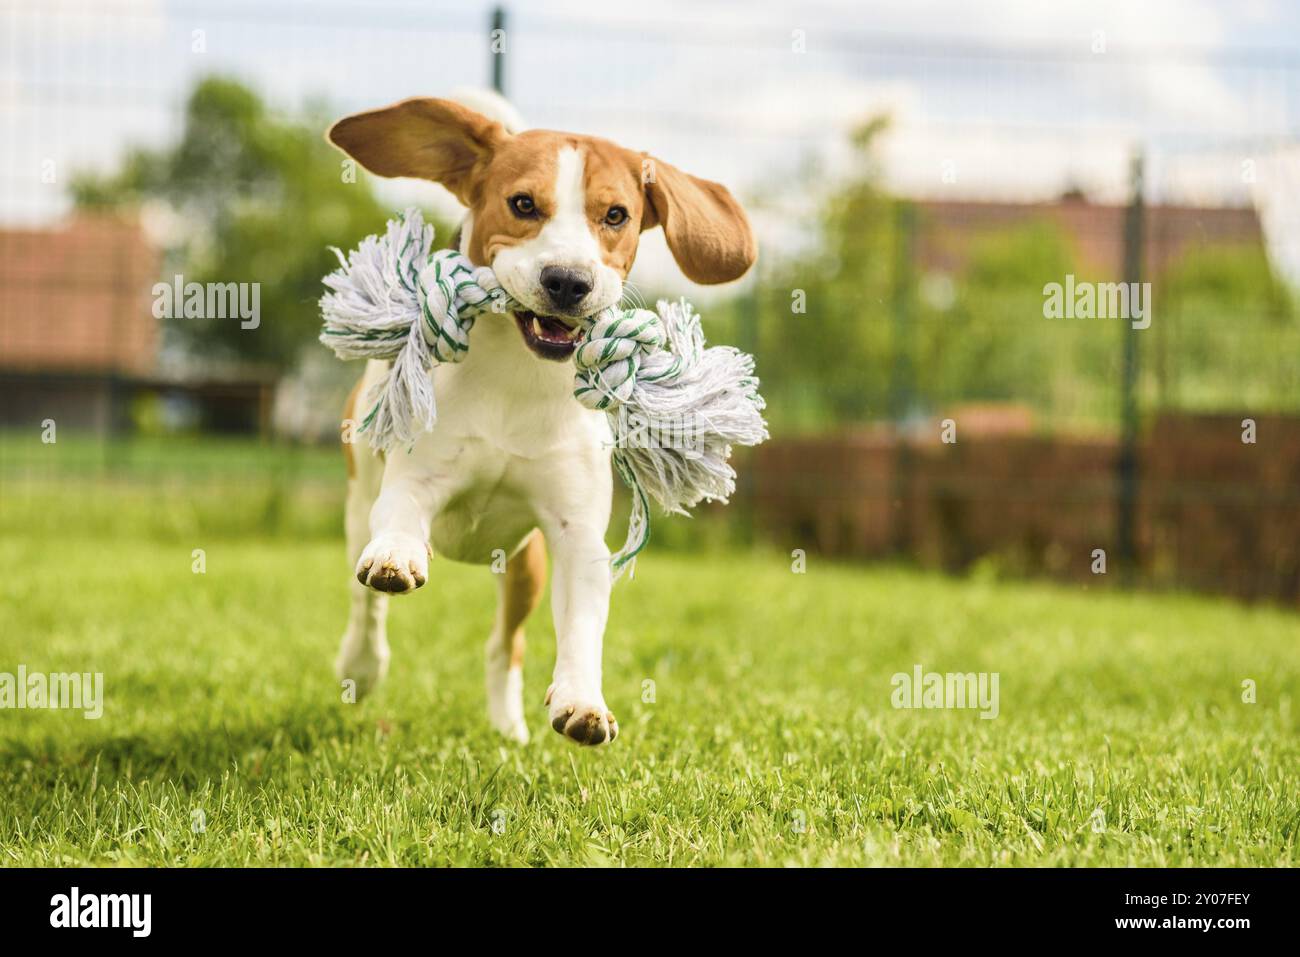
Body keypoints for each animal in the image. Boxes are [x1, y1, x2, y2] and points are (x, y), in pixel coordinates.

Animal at [325, 93, 759, 743]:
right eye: (523, 204)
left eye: (615, 215)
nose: (568, 281)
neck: (518, 380)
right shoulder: (414, 481)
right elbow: (398, 522)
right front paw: (398, 556)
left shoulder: (576, 535)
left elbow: (581, 625)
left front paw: (582, 700)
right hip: (359, 503)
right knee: (366, 605)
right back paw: (361, 662)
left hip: (523, 565)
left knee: (505, 645)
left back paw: (508, 727)